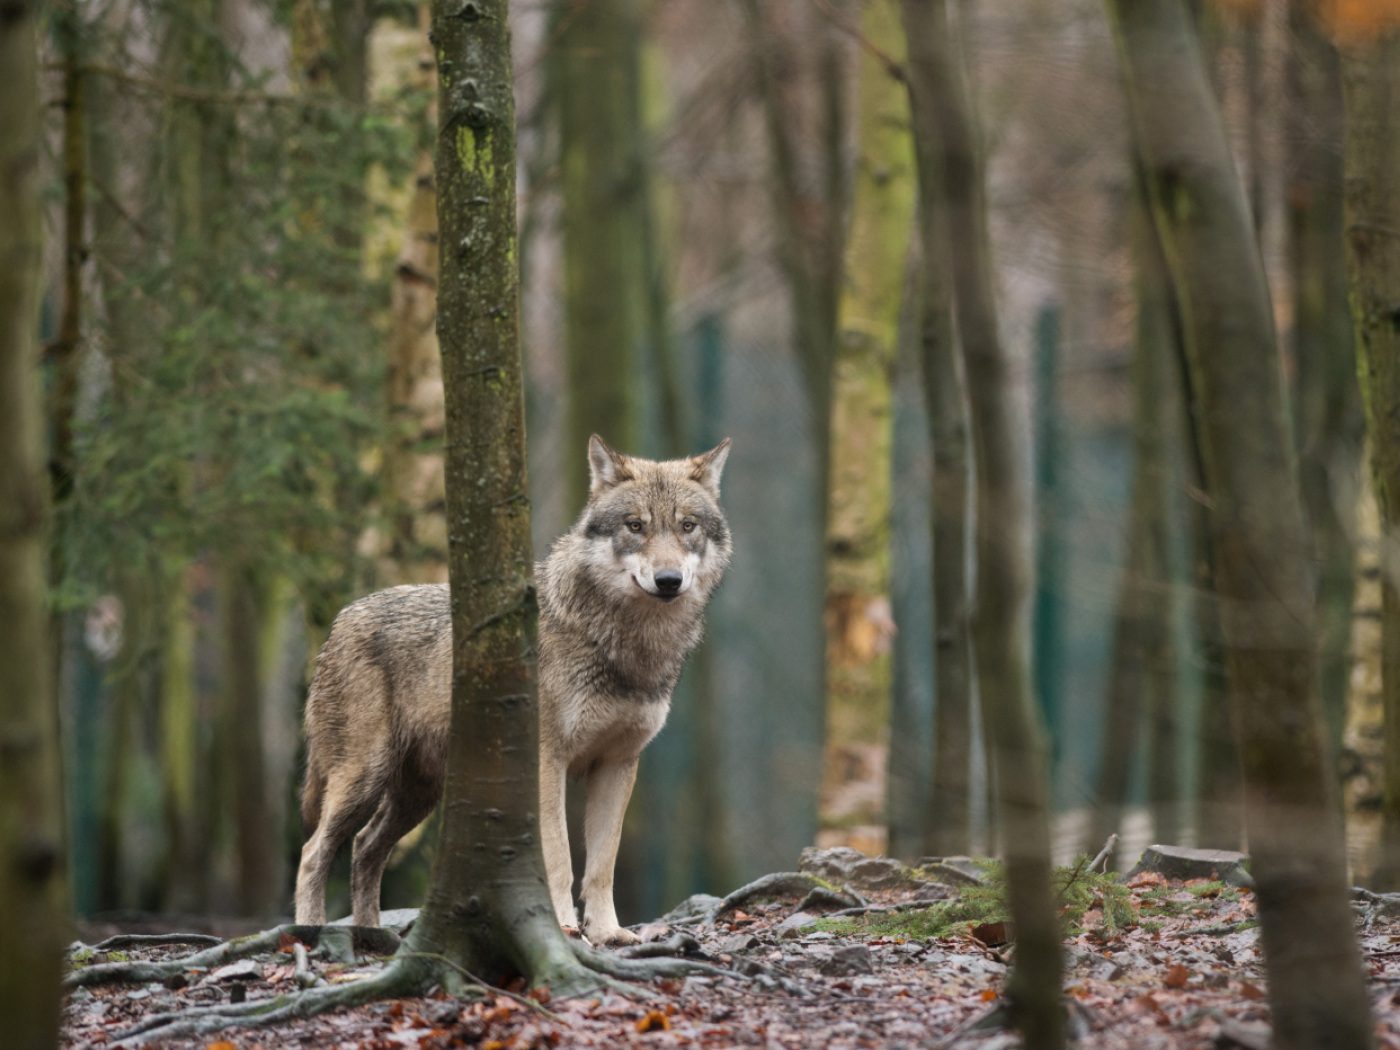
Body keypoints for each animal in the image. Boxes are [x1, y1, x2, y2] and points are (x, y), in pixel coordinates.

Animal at [293, 435, 731, 945]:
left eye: (687, 526)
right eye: (635, 526)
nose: (668, 580)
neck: (627, 646)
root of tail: (340, 620)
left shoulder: (618, 764)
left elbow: (602, 864)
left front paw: (608, 933)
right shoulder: (547, 760)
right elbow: (559, 857)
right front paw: (563, 928)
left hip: (417, 795)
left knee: (364, 848)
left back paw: (372, 936)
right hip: (364, 778)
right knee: (313, 852)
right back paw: (310, 932)